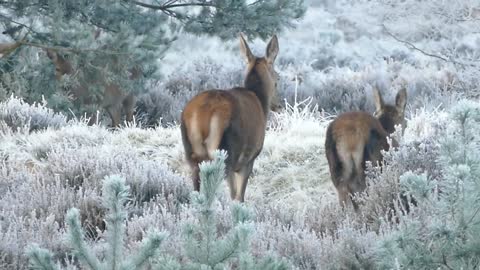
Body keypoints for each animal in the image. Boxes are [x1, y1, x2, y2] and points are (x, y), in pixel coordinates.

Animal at [180, 33, 280, 201]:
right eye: (278, 80)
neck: (260, 101)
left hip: (192, 155)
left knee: (196, 190)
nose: (278, 105)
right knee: (226, 194)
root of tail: (203, 114)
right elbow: (239, 196)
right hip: (227, 153)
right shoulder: (249, 159)